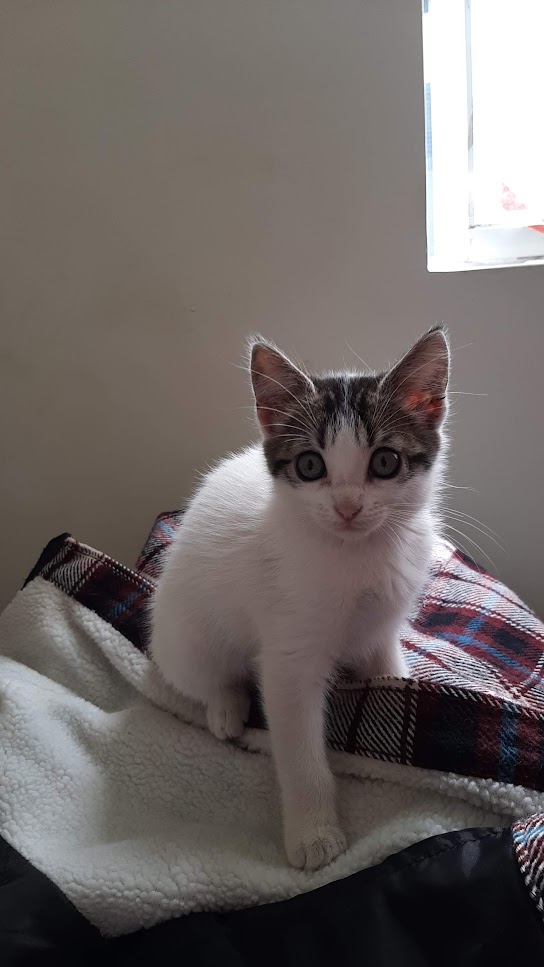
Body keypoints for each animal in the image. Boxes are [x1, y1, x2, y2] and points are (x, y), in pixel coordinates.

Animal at [150, 327, 449, 871]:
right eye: (310, 465)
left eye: (386, 461)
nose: (348, 507)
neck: (358, 556)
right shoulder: (289, 654)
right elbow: (298, 751)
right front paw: (314, 837)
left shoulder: (382, 626)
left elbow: (387, 669)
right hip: (186, 638)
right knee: (206, 678)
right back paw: (225, 709)